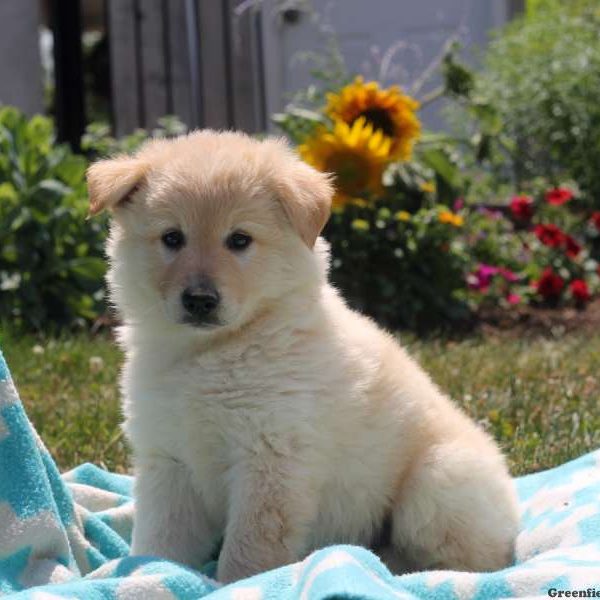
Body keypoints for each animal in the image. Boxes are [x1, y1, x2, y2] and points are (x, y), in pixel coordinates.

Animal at [86, 130, 516, 580]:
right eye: (172, 238)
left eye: (239, 240)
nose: (200, 300)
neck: (214, 350)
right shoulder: (167, 459)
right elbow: (160, 540)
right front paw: (149, 572)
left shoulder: (271, 458)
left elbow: (248, 551)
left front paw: (236, 584)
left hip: (437, 481)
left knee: (469, 561)